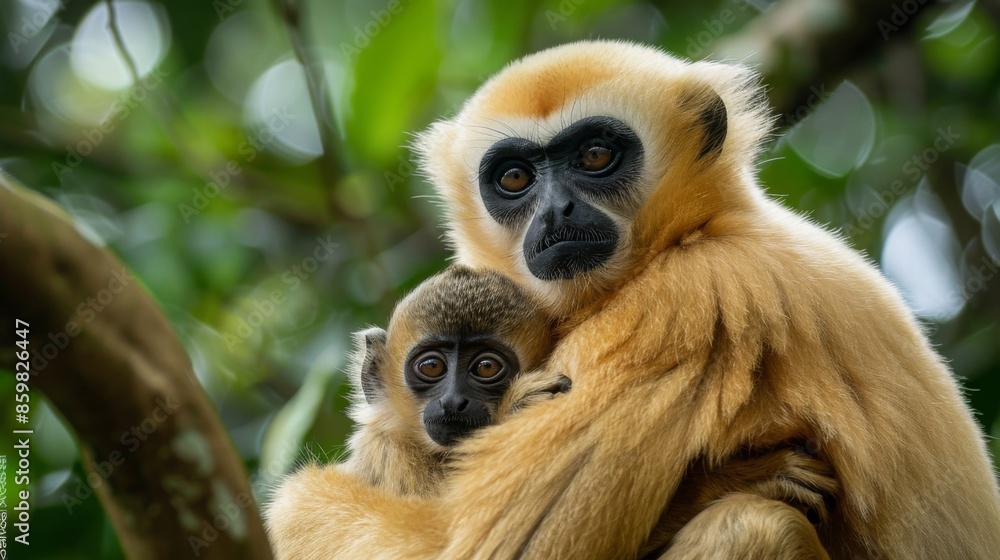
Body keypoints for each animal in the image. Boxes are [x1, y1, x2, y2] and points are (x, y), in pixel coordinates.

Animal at [267, 41, 1000, 559]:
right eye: (515, 178)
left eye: (595, 156)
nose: (557, 210)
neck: (702, 231)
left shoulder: (681, 304)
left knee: (753, 526)